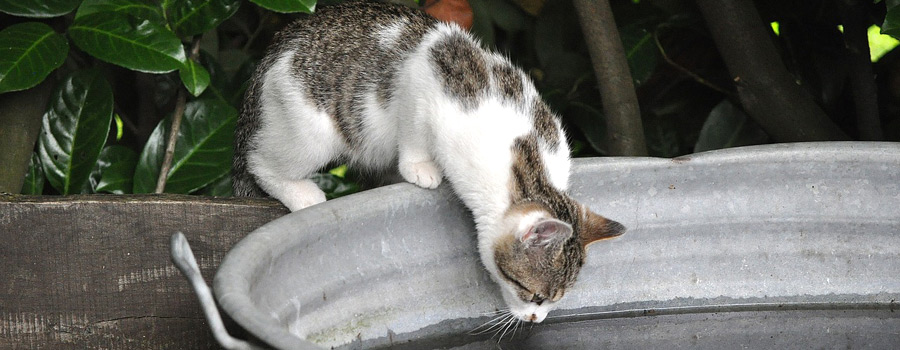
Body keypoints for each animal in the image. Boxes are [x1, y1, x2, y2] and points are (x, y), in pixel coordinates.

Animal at [234, 0, 624, 324]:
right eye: (535, 295)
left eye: (555, 301)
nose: (535, 319)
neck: (525, 159)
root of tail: (284, 39)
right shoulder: (421, 80)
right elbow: (413, 128)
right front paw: (419, 167)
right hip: (310, 128)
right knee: (261, 161)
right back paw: (301, 193)